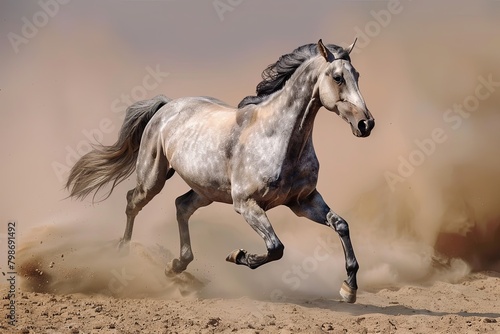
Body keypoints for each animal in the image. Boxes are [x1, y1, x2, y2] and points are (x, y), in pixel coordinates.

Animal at [68, 39, 376, 302]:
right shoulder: (246, 204)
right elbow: (275, 248)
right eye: (337, 77)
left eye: (357, 75)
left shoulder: (304, 202)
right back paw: (122, 255)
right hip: (152, 177)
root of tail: (167, 105)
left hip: (206, 191)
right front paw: (237, 255)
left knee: (181, 206)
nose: (366, 124)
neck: (279, 139)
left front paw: (349, 289)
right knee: (133, 202)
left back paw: (175, 266)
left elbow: (340, 224)